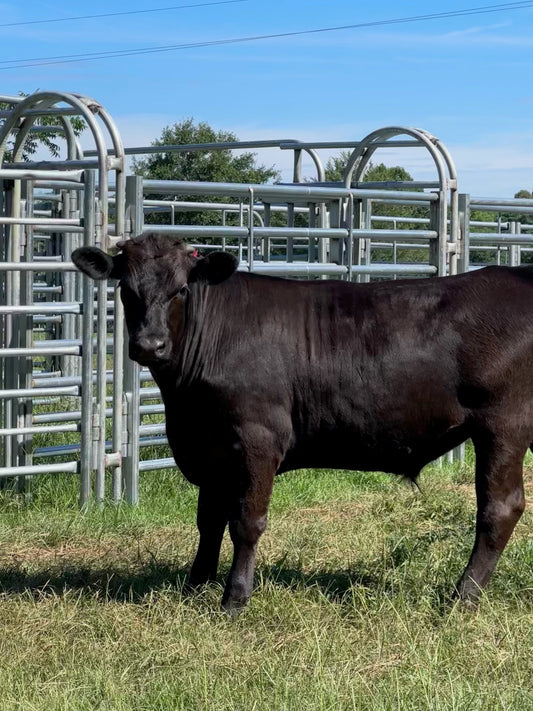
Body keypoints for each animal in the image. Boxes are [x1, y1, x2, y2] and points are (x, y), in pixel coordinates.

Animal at [72, 232, 530, 613]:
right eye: (125, 289)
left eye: (181, 288)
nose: (149, 345)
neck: (184, 403)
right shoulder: (210, 448)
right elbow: (208, 522)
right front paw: (194, 586)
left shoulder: (257, 439)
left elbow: (245, 522)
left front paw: (235, 598)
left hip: (504, 427)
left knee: (499, 509)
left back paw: (462, 597)